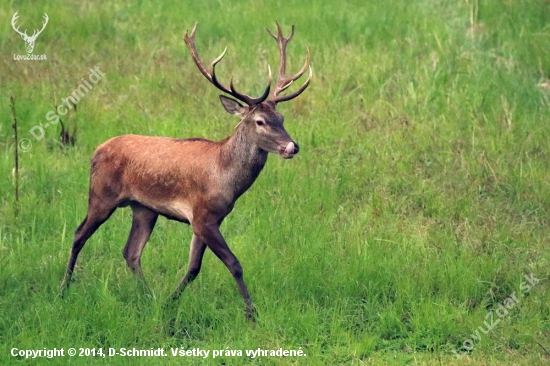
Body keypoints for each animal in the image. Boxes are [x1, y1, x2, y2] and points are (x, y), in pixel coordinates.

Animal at [61, 22, 312, 320]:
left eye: (281, 118)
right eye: (260, 121)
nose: (292, 146)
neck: (225, 178)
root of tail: (96, 150)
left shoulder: (207, 219)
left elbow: (193, 267)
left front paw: (169, 303)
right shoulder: (203, 215)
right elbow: (234, 263)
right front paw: (252, 315)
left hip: (143, 207)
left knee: (131, 252)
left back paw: (148, 296)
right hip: (101, 195)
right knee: (79, 234)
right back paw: (63, 289)